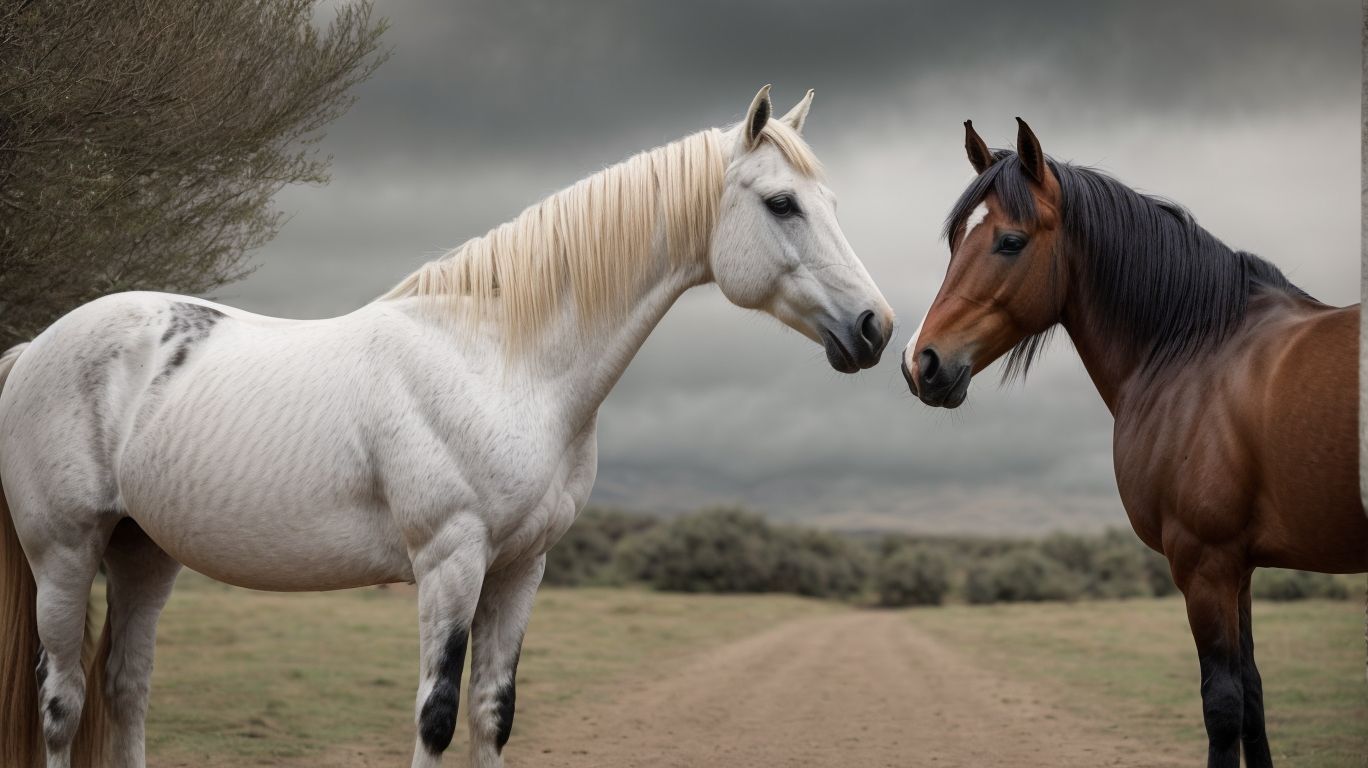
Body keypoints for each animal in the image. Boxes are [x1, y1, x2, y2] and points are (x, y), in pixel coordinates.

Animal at [0, 85, 895, 768]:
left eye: (830, 203)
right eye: (782, 203)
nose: (876, 327)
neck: (500, 361)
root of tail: (36, 347)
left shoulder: (522, 569)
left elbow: (493, 712)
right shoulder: (450, 562)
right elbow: (435, 715)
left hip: (144, 551)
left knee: (125, 688)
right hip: (65, 553)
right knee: (63, 702)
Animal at [903, 118, 1366, 768]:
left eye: (1010, 241)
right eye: (953, 241)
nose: (920, 362)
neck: (1194, 350)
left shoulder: (1205, 562)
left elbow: (1223, 707)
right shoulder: (1240, 567)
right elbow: (1253, 698)